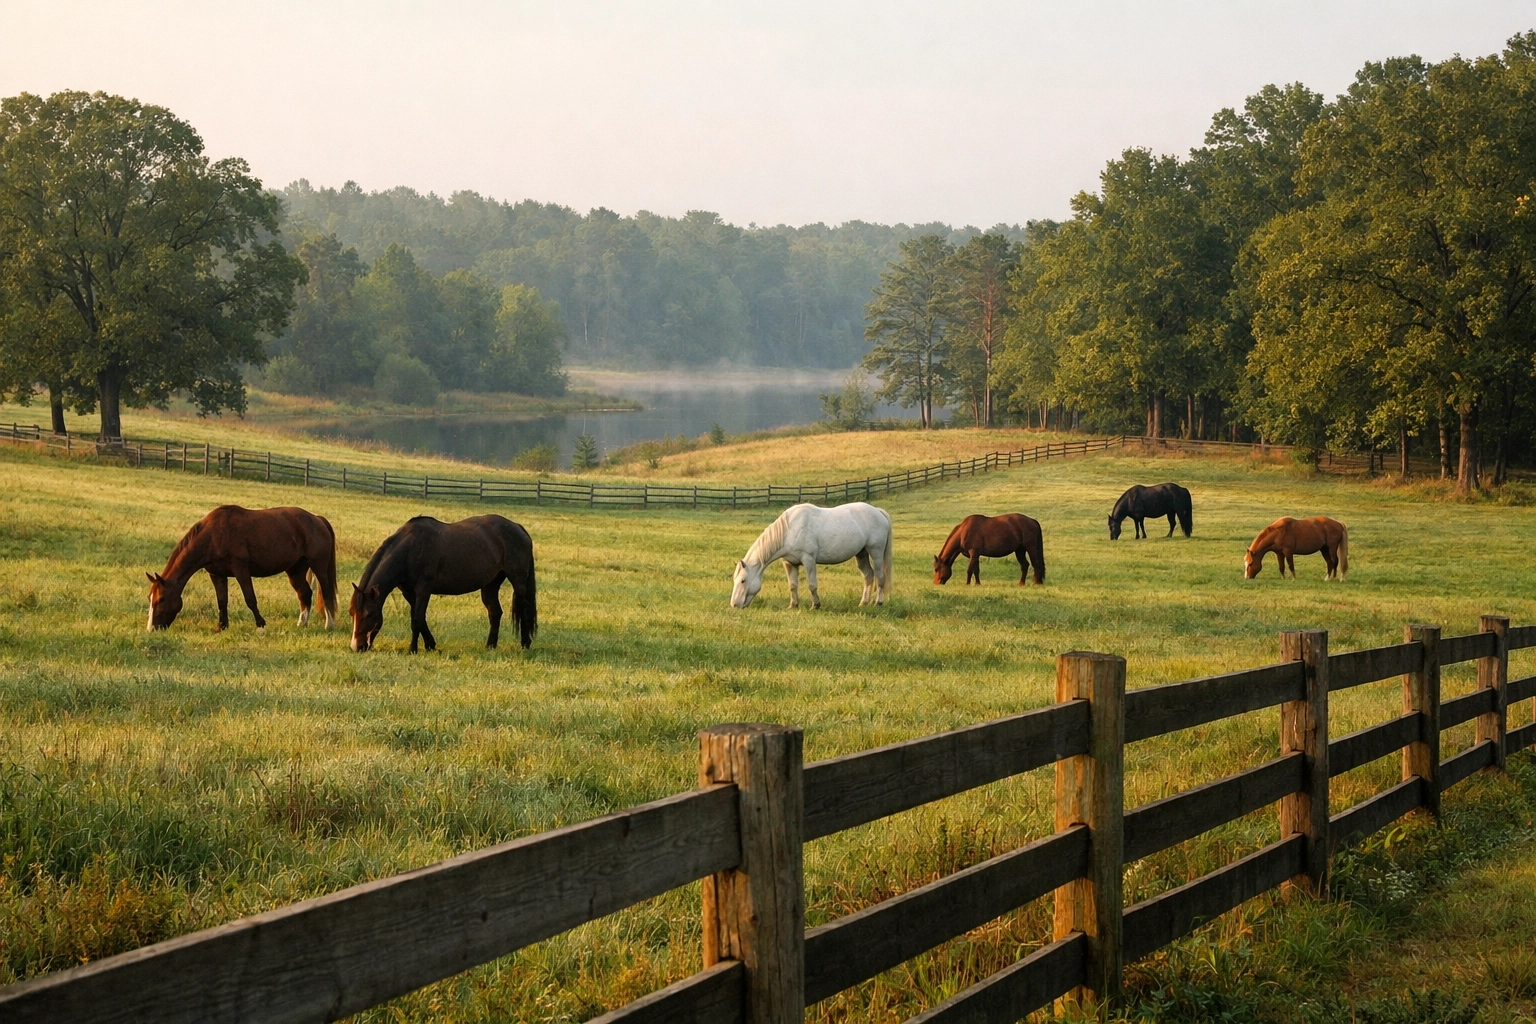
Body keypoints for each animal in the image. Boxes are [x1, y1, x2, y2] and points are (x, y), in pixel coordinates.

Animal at [147, 505, 337, 631]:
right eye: (150, 598)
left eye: (161, 599)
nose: (152, 628)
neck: (213, 536)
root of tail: (317, 519)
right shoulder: (216, 574)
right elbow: (222, 601)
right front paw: (222, 626)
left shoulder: (241, 570)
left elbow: (250, 599)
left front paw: (260, 625)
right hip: (295, 570)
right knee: (304, 593)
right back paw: (302, 624)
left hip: (319, 566)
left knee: (327, 592)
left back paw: (330, 624)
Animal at [350, 515, 537, 652]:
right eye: (352, 613)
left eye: (368, 614)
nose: (357, 647)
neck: (410, 549)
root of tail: (518, 527)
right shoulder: (409, 592)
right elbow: (420, 619)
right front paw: (430, 645)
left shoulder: (423, 590)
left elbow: (416, 619)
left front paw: (413, 649)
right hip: (490, 584)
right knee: (495, 613)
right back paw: (490, 646)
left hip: (518, 581)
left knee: (524, 609)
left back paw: (525, 643)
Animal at [730, 502, 892, 610]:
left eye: (743, 580)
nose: (734, 604)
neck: (789, 530)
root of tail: (878, 511)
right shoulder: (789, 563)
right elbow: (793, 585)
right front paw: (793, 605)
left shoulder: (808, 560)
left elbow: (812, 585)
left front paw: (816, 605)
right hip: (861, 554)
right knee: (868, 576)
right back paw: (863, 603)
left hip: (876, 552)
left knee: (880, 576)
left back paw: (878, 602)